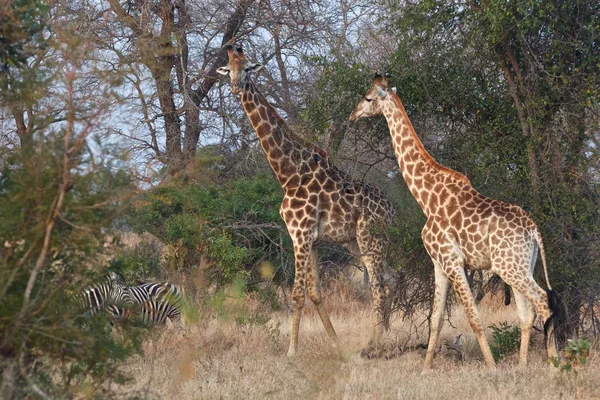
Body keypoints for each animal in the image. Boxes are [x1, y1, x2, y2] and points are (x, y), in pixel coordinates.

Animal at [218, 45, 396, 354]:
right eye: (228, 69)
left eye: (248, 68)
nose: (235, 87)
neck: (288, 173)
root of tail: (390, 208)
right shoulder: (310, 239)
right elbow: (314, 293)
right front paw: (336, 343)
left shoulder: (299, 234)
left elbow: (297, 295)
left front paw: (291, 350)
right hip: (356, 241)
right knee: (387, 280)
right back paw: (383, 334)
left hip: (369, 237)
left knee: (379, 285)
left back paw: (377, 341)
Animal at [350, 75, 564, 372]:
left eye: (368, 98)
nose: (352, 115)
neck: (427, 198)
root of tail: (534, 231)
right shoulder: (439, 264)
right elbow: (436, 319)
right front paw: (425, 369)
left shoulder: (452, 260)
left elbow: (473, 316)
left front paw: (492, 368)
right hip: (521, 265)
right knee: (527, 312)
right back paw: (522, 366)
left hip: (509, 267)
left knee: (544, 302)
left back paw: (554, 366)